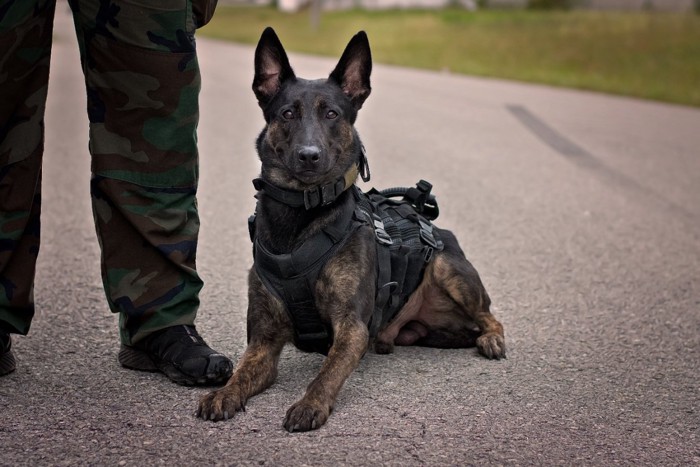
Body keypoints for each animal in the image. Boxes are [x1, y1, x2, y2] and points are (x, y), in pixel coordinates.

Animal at [196, 27, 504, 434]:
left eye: (332, 113)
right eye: (287, 113)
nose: (309, 155)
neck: (302, 215)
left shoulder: (351, 328)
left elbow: (327, 372)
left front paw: (310, 404)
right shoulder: (263, 341)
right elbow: (243, 372)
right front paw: (224, 393)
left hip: (446, 268)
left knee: (490, 317)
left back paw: (492, 340)